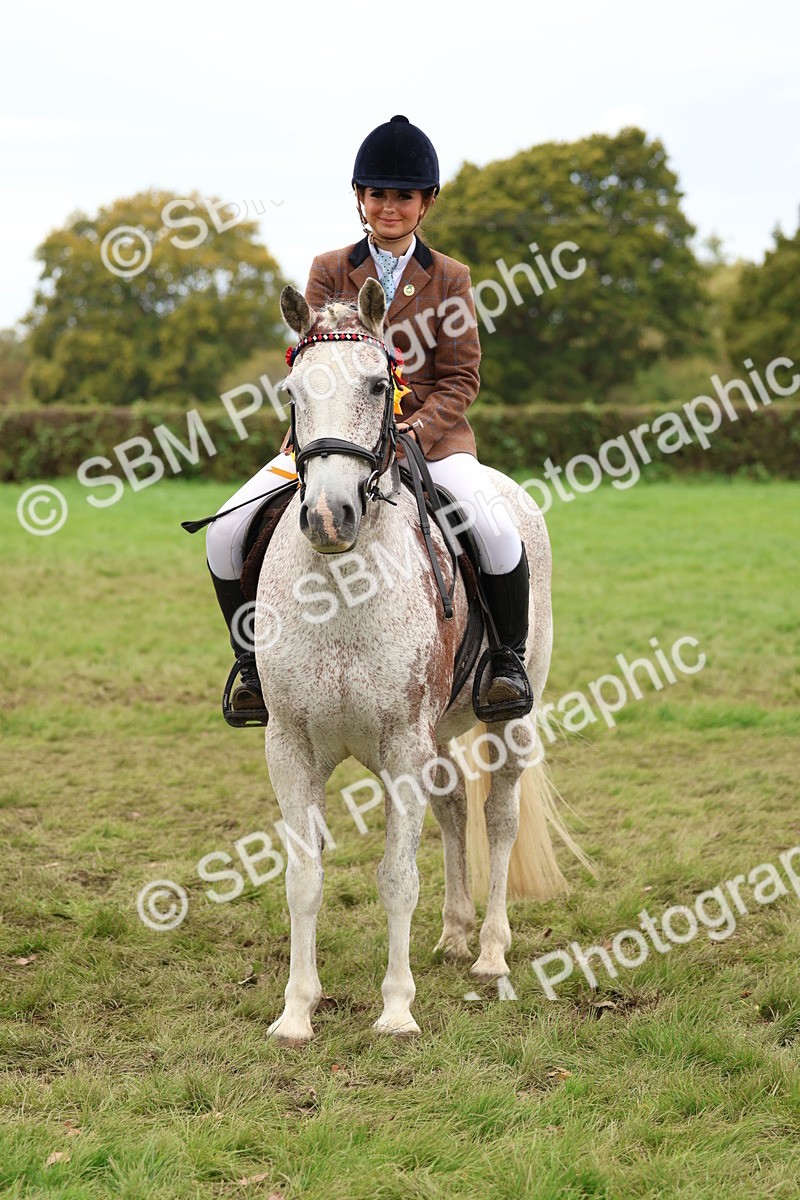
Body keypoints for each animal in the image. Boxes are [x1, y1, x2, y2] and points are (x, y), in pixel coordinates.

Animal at [256, 278, 584, 1045]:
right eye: (292, 391)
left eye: (380, 385)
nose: (329, 518)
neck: (338, 592)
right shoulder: (291, 747)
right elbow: (303, 879)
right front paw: (296, 1012)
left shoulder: (402, 743)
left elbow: (396, 877)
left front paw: (397, 1009)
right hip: (436, 735)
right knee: (456, 807)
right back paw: (455, 933)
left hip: (508, 720)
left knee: (498, 816)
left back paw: (490, 951)